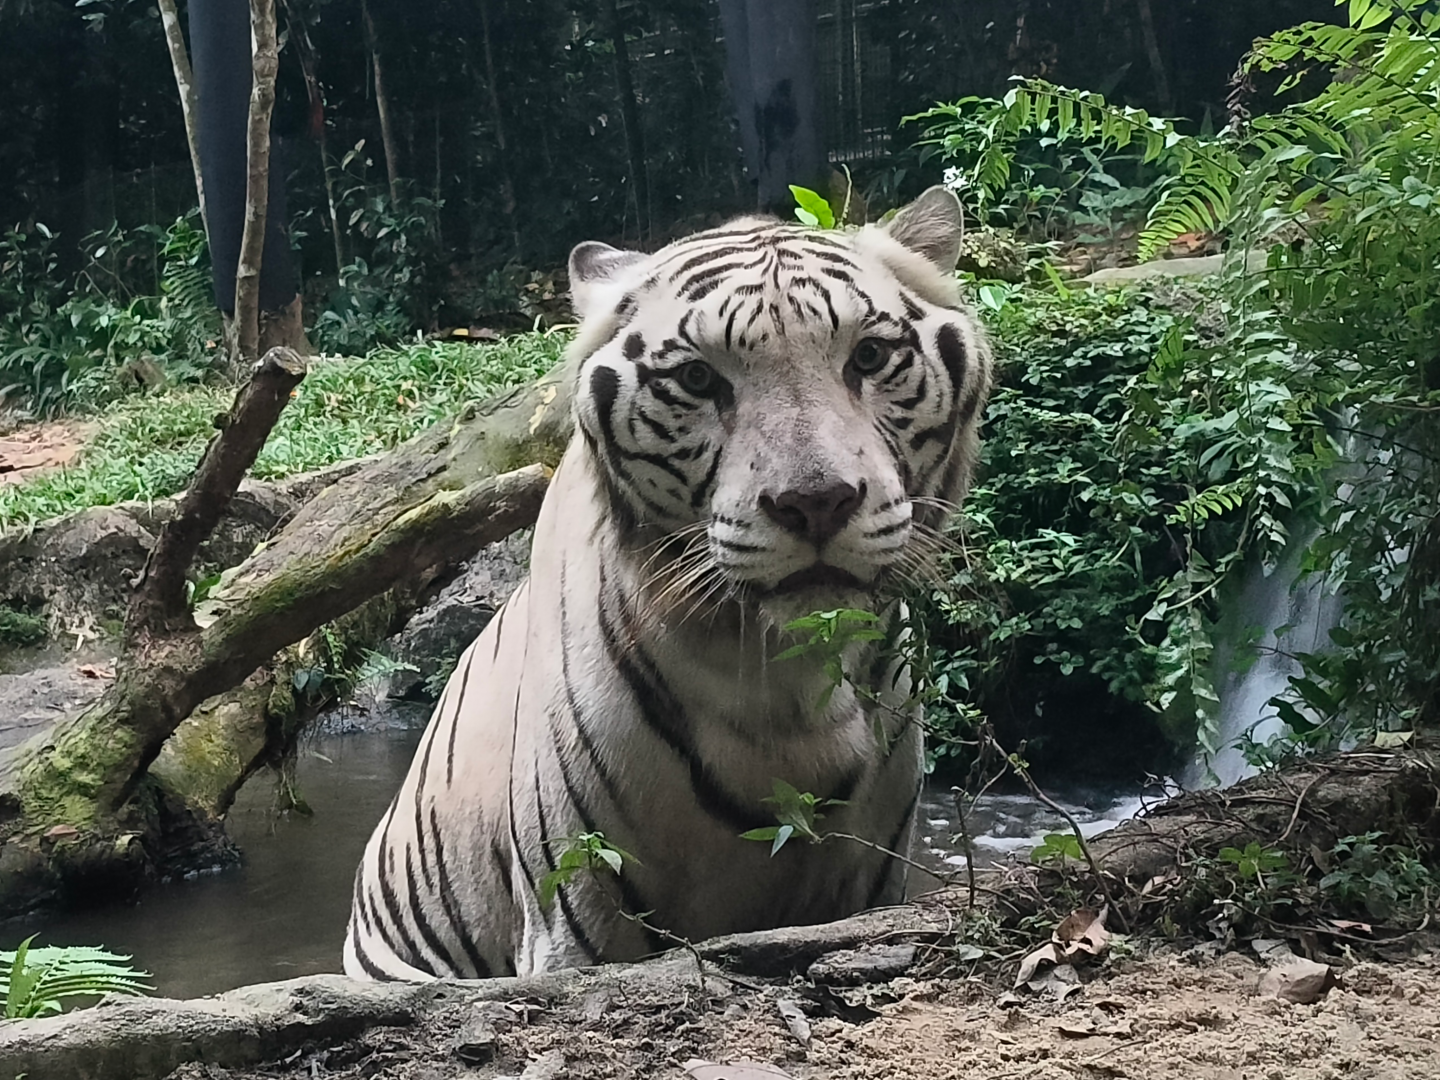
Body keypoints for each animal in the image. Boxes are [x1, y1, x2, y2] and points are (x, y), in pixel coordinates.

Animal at [344, 186, 993, 981]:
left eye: (869, 356)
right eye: (697, 379)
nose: (816, 503)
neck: (791, 681)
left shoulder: (871, 880)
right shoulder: (581, 909)